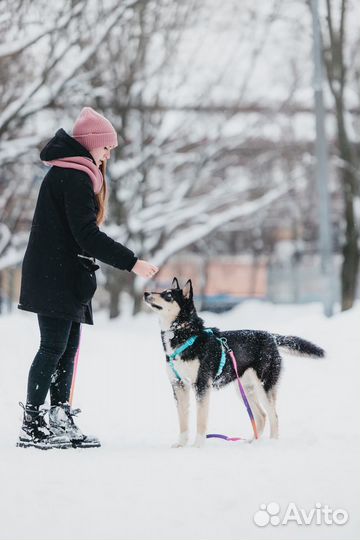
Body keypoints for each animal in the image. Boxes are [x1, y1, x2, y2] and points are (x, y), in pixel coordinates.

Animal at [143, 278, 326, 448]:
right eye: (162, 291)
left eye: (168, 296)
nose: (145, 293)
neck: (184, 333)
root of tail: (270, 336)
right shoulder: (178, 385)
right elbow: (183, 421)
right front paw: (181, 444)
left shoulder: (201, 385)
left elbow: (201, 420)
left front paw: (198, 445)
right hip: (244, 388)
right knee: (261, 416)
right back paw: (253, 442)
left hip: (263, 386)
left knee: (273, 415)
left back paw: (272, 443)